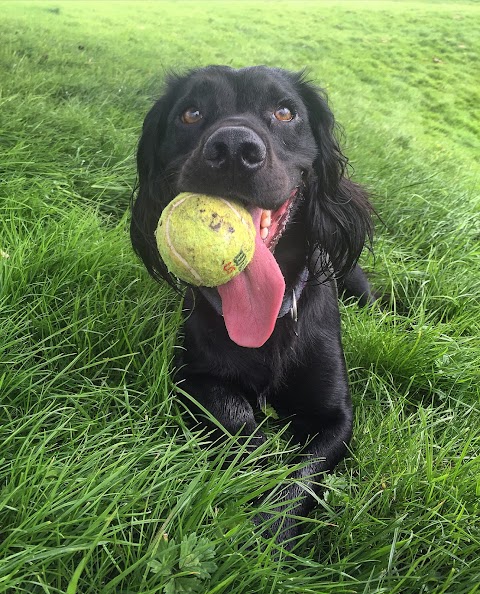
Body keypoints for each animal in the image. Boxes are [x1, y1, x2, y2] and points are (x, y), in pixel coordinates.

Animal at [131, 66, 376, 544]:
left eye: (285, 112)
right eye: (191, 113)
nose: (232, 150)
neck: (268, 324)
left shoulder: (336, 415)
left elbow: (301, 475)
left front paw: (268, 537)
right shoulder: (193, 377)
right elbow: (247, 431)